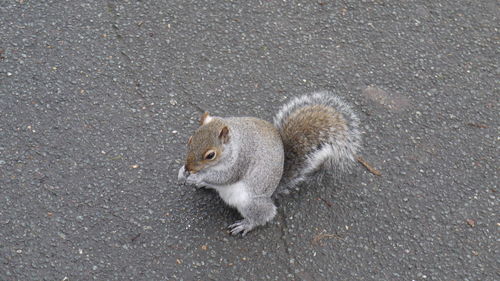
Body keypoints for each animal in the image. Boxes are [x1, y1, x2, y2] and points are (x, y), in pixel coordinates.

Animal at [178, 91, 362, 234]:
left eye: (210, 155)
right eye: (190, 140)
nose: (188, 167)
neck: (234, 144)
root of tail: (273, 189)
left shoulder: (240, 162)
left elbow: (225, 177)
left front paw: (198, 177)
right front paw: (183, 173)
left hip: (250, 201)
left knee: (266, 214)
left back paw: (247, 224)